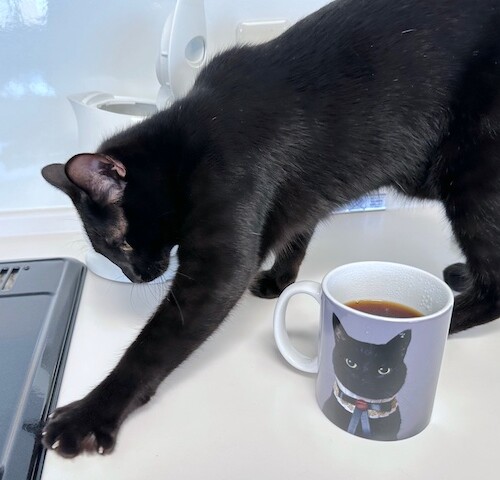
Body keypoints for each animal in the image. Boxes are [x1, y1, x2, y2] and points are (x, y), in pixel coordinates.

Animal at [40, 0, 500, 457]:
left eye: (120, 244)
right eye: (109, 252)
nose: (136, 277)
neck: (189, 139)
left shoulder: (218, 265)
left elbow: (153, 345)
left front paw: (91, 414)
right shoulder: (303, 197)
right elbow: (297, 234)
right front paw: (280, 279)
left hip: (471, 180)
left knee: (494, 287)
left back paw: (445, 320)